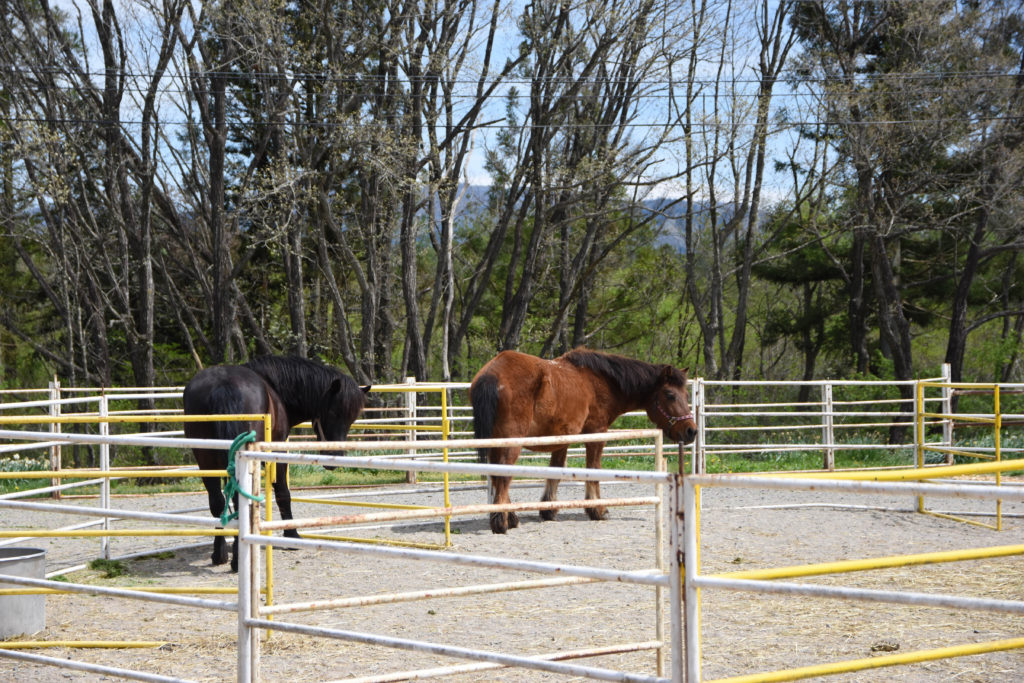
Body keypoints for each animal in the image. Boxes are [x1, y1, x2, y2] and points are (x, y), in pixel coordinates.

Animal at [182, 356, 370, 573]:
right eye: (332, 412)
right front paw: (292, 535)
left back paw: (220, 554)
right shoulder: (276, 452)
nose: (335, 456)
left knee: (218, 502)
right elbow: (283, 493)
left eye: (352, 418)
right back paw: (238, 560)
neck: (274, 386)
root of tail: (223, 385)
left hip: (205, 458)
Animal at [468, 348, 696, 532]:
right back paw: (501, 521)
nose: (691, 431)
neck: (600, 382)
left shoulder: (561, 439)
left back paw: (510, 516)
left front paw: (549, 509)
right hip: (510, 442)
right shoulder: (597, 432)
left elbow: (556, 471)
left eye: (686, 395)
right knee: (503, 475)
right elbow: (593, 470)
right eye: (670, 394)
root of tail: (492, 373)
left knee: (496, 474)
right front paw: (597, 509)